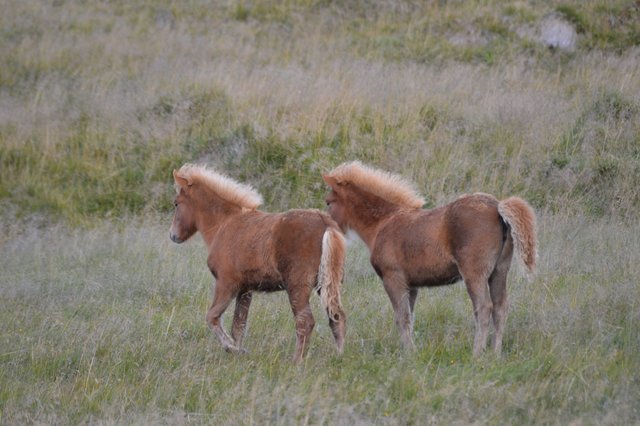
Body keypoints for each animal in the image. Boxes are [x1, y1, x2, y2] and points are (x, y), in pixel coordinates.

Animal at [170, 164, 348, 362]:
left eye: (176, 203)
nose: (173, 235)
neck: (224, 224)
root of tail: (325, 223)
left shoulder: (226, 283)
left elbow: (212, 317)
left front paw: (233, 349)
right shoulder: (245, 289)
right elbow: (238, 326)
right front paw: (237, 353)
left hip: (297, 286)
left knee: (306, 321)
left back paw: (296, 361)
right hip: (327, 283)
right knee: (337, 316)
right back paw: (339, 356)